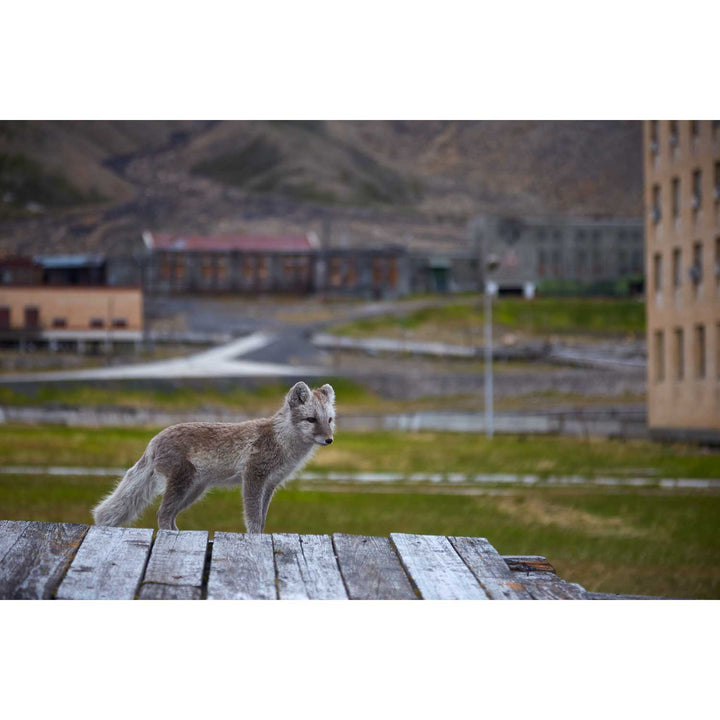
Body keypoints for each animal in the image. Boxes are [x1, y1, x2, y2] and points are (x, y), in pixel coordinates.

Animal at [92, 382, 334, 536]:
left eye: (329, 420)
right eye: (311, 419)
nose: (329, 440)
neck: (282, 441)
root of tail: (153, 440)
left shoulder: (270, 484)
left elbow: (263, 518)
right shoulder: (253, 477)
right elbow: (253, 517)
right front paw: (255, 537)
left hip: (193, 492)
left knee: (169, 516)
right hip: (183, 485)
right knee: (162, 514)